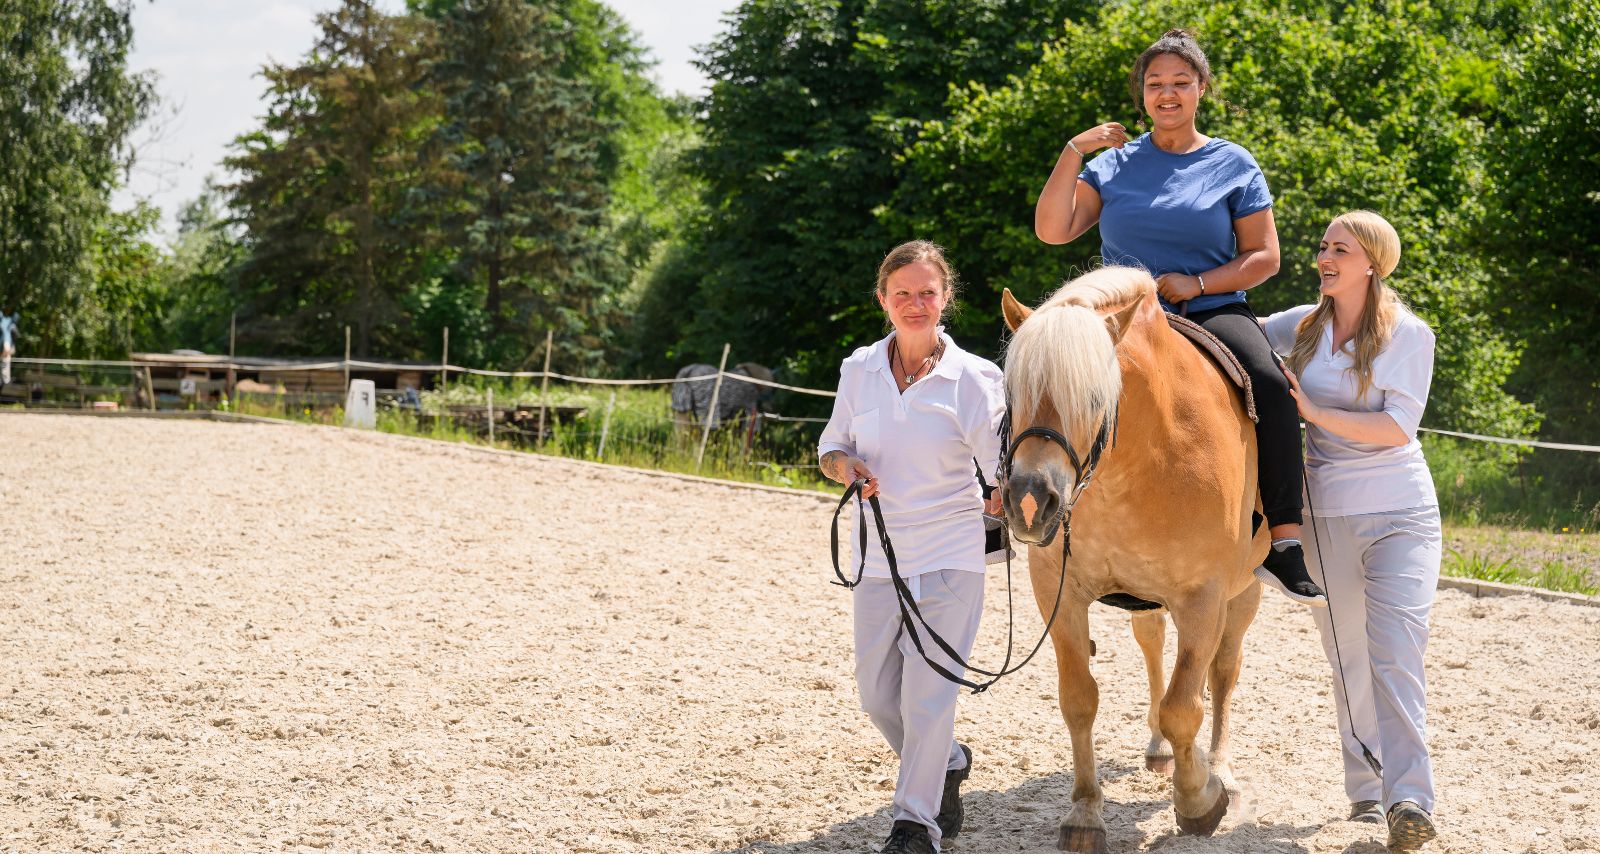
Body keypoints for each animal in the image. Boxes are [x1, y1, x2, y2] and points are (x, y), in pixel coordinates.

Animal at [1000, 266, 1266, 852]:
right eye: (1011, 391)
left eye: (1095, 396)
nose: (1029, 502)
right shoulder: (1060, 595)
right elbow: (1079, 700)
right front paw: (1084, 812)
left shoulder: (1203, 598)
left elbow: (1185, 707)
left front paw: (1199, 800)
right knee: (1152, 644)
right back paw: (1161, 751)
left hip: (1245, 590)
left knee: (1224, 672)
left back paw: (1223, 772)